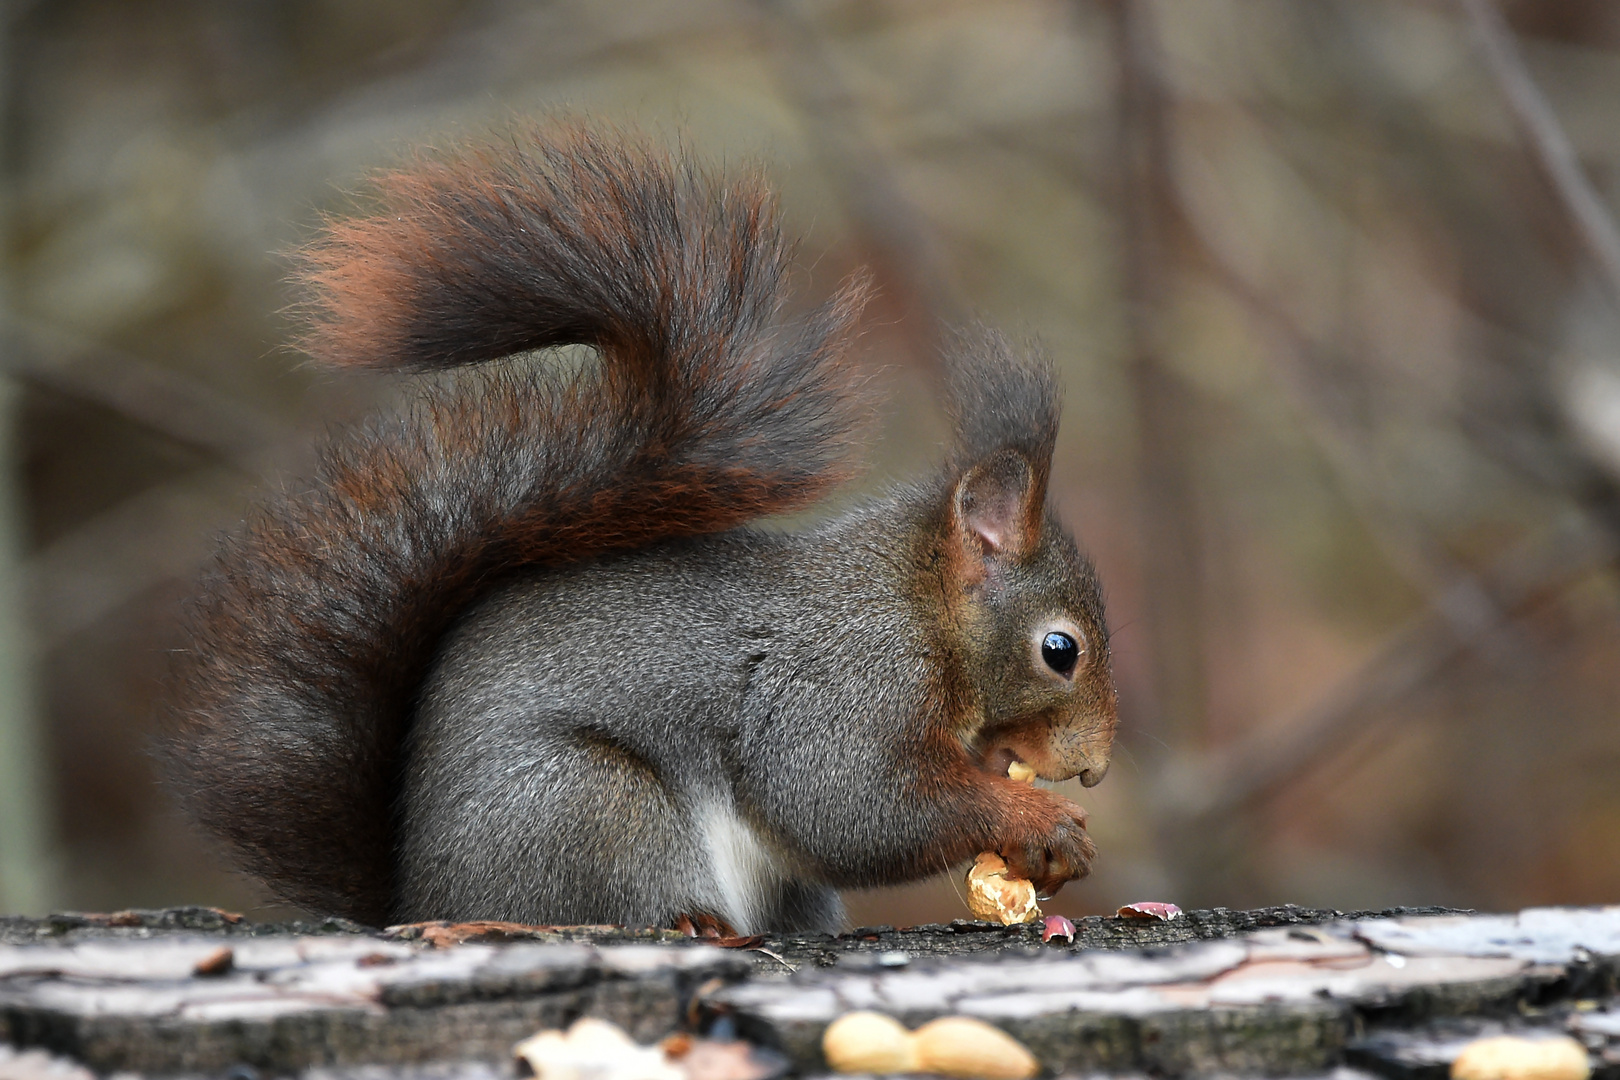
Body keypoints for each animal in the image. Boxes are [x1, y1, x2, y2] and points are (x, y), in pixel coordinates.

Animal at [164, 128, 1121, 939]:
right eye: (1060, 650)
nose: (1096, 769)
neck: (917, 605)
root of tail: (421, 898)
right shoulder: (842, 683)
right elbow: (850, 803)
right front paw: (1040, 821)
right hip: (591, 808)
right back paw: (689, 923)